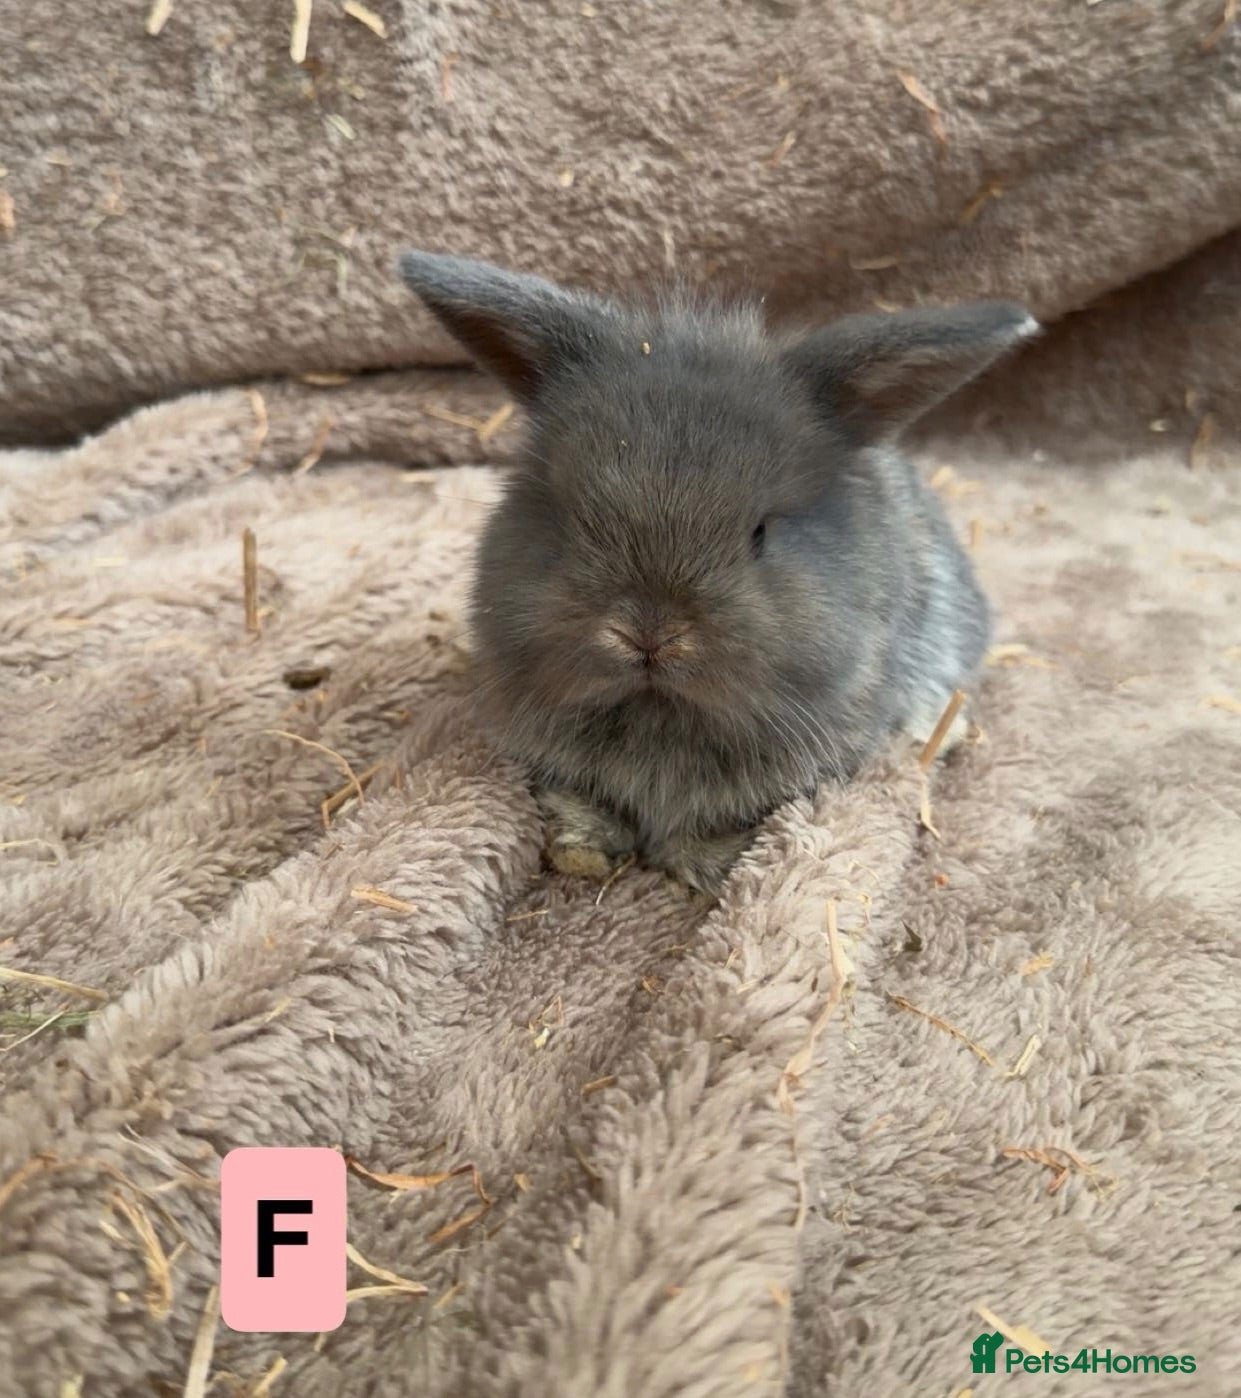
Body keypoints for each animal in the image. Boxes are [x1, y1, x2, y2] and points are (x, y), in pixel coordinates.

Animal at [398, 251, 1038, 894]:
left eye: (760, 532)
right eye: (568, 516)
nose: (648, 635)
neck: (659, 718)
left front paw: (706, 863)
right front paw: (582, 849)